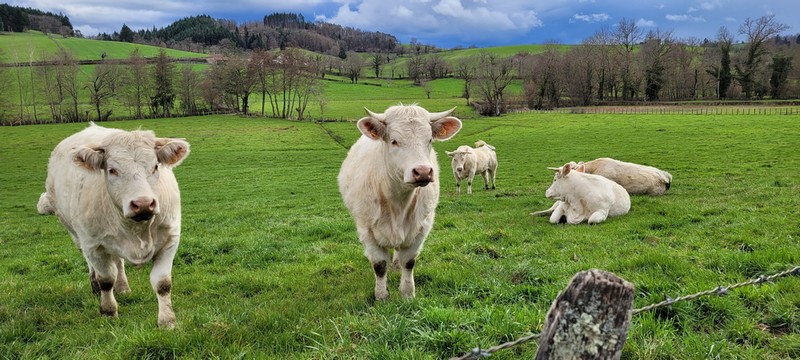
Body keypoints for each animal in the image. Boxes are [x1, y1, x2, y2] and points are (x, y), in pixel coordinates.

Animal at [37, 122, 189, 328]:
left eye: (155, 166)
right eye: (112, 170)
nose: (143, 204)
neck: (136, 229)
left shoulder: (170, 240)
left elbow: (162, 283)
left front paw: (167, 321)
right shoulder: (94, 245)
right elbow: (106, 280)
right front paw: (109, 312)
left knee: (118, 262)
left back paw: (123, 287)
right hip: (77, 235)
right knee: (94, 266)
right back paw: (95, 287)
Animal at [338, 105, 462, 300]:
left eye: (429, 140)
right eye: (394, 141)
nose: (423, 171)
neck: (397, 201)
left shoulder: (421, 227)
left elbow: (409, 262)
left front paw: (407, 293)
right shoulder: (366, 229)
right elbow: (380, 264)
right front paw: (381, 296)